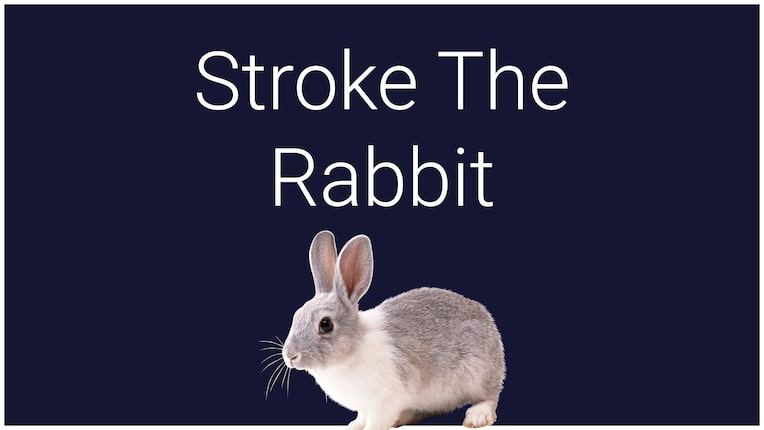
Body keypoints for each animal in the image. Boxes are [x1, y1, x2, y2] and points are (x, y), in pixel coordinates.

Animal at [281, 230, 506, 430]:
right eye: (296, 315)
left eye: (326, 324)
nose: (290, 356)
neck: (354, 348)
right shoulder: (366, 407)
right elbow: (362, 417)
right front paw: (354, 426)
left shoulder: (387, 399)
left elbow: (378, 420)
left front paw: (369, 429)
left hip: (479, 373)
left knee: (490, 397)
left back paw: (477, 417)